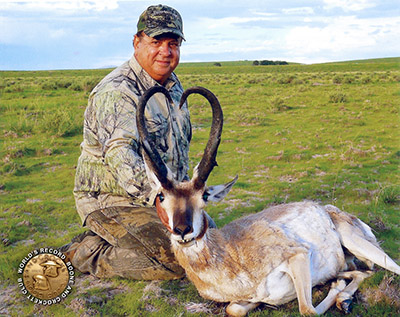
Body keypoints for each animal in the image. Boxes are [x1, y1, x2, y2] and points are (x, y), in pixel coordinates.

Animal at [136, 85, 398, 314]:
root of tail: (328, 209)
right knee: (362, 272)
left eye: (204, 196)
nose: (183, 230)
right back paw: (342, 293)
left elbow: (307, 310)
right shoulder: (246, 300)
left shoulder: (298, 256)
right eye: (161, 195)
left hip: (358, 243)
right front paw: (337, 288)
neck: (232, 254)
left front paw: (334, 292)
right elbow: (233, 310)